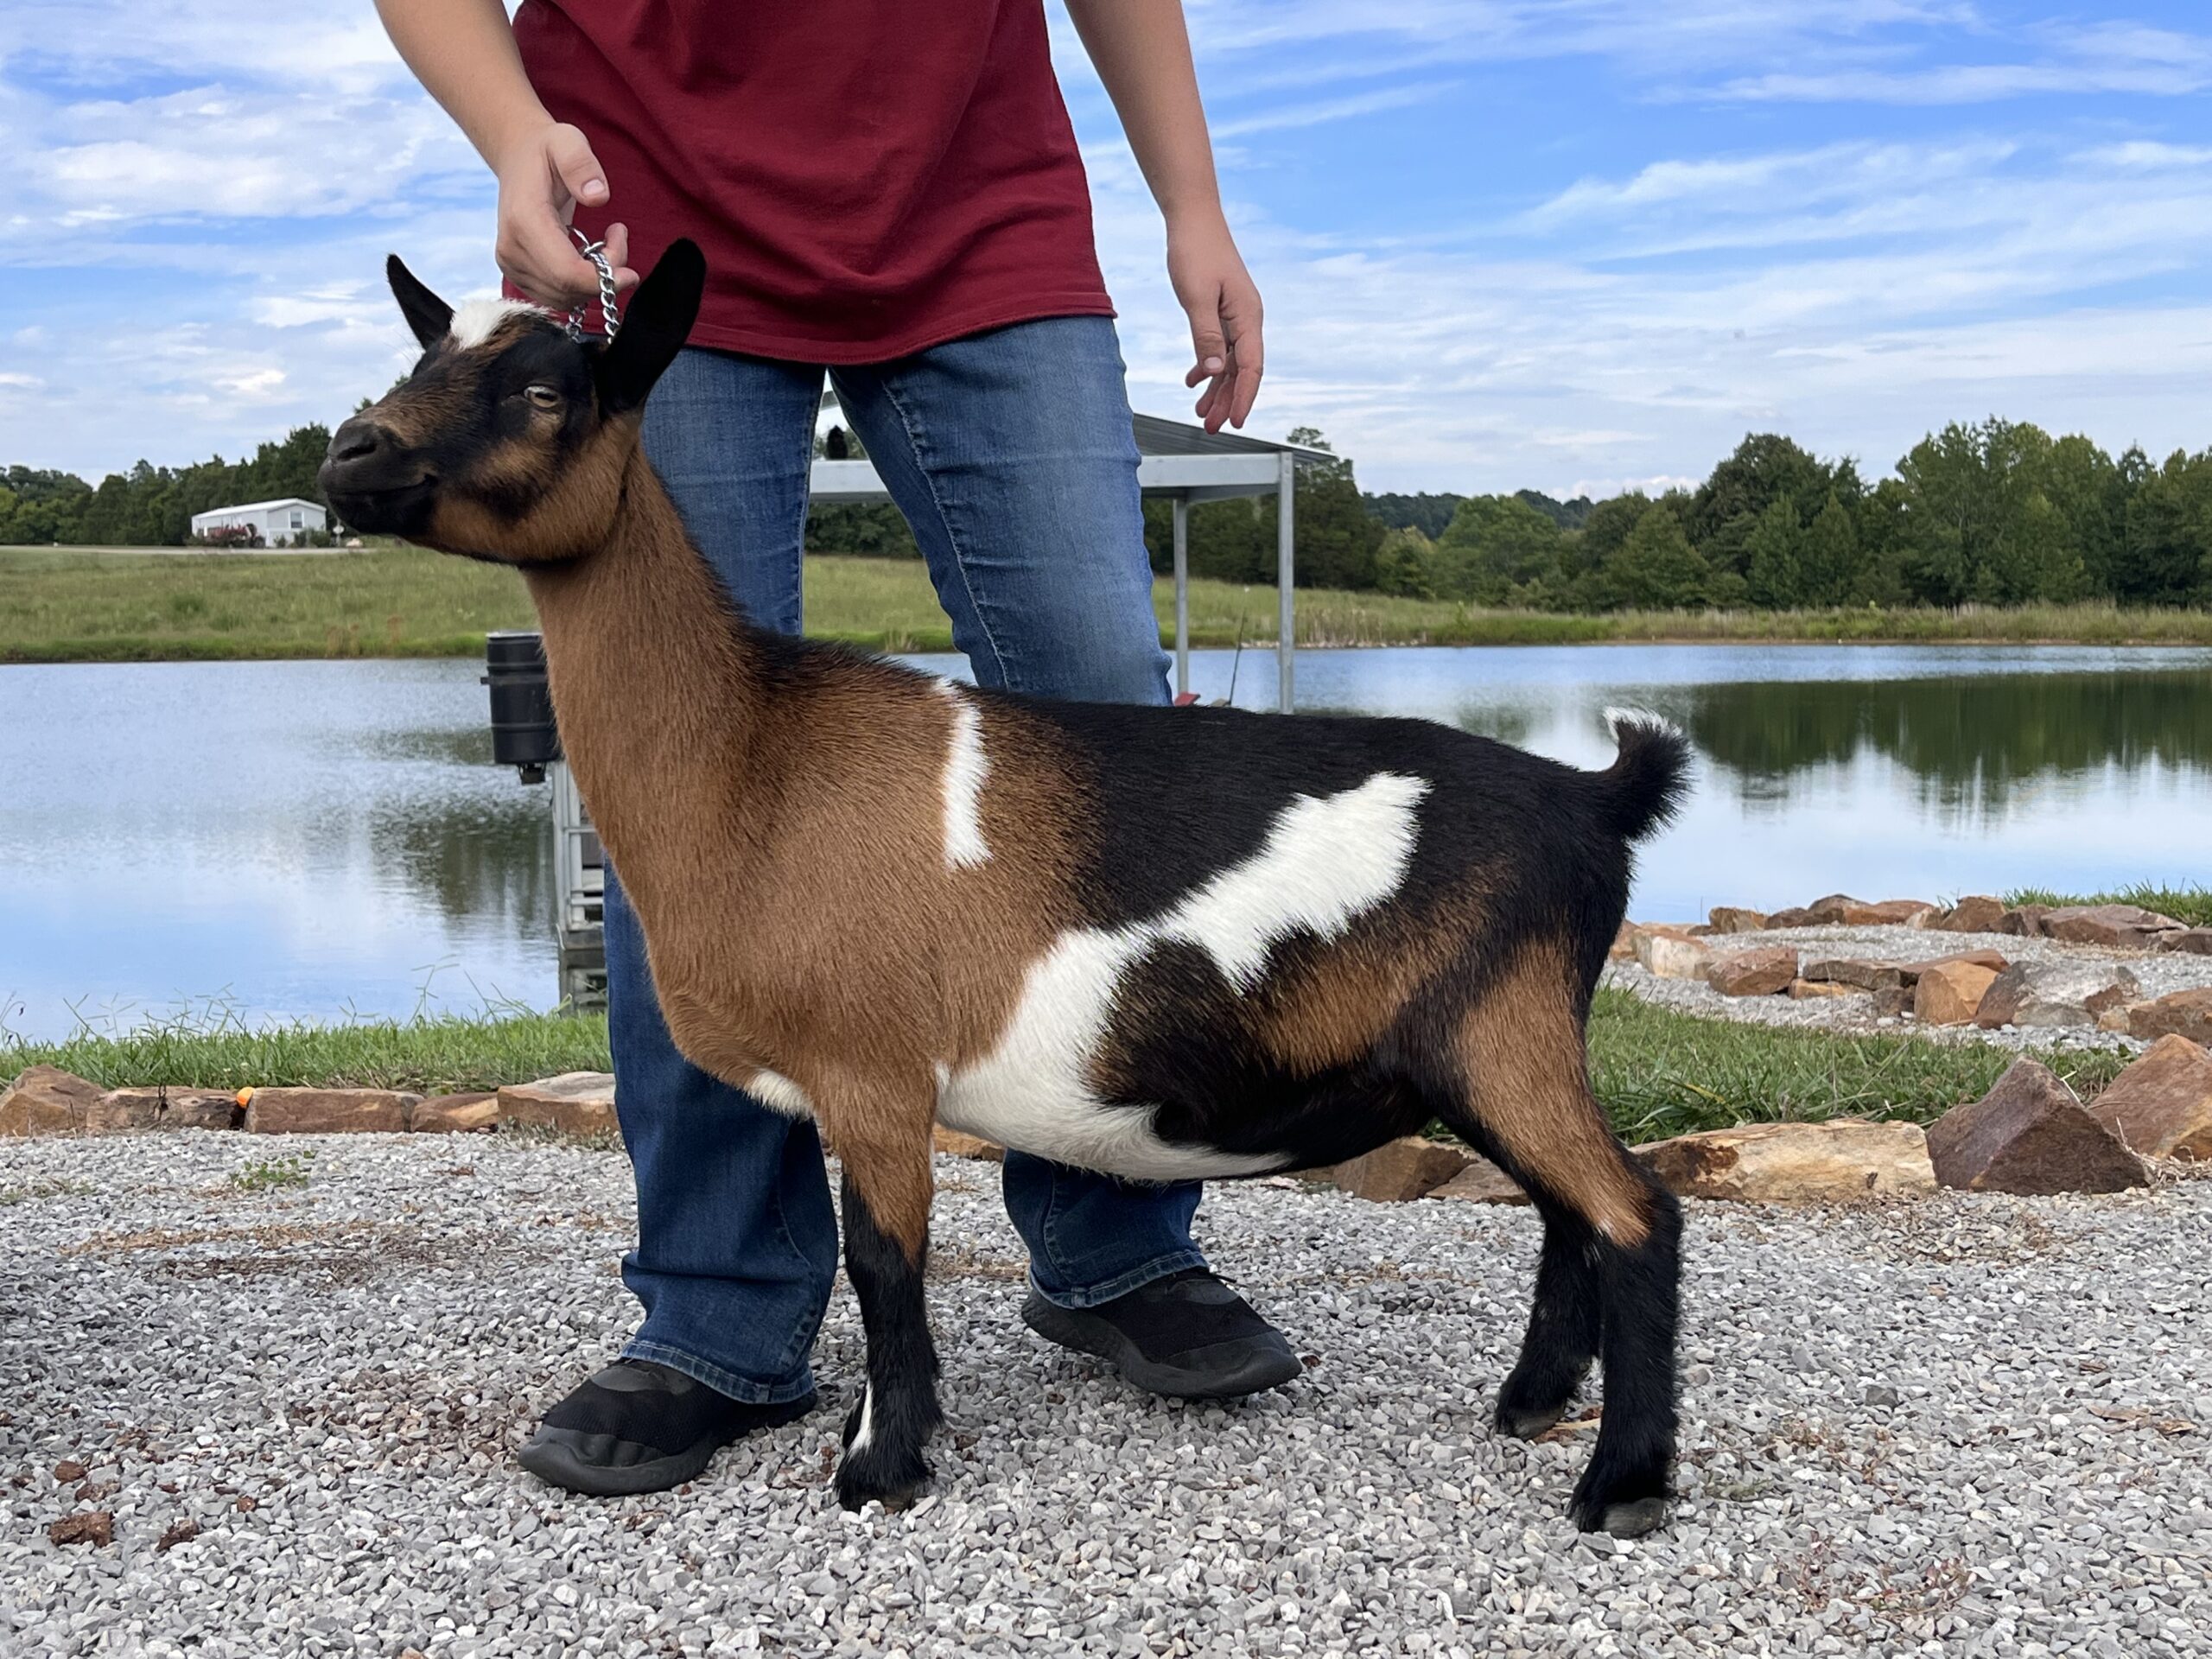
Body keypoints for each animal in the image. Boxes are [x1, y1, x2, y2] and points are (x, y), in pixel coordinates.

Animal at [316, 239, 1689, 1539]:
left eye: (545, 389)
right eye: (417, 359)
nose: (348, 454)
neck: (756, 759)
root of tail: (1593, 799)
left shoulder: (873, 1074)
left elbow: (884, 1266)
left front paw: (879, 1469)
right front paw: (885, 1442)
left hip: (1503, 1028)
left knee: (1631, 1215)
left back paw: (1619, 1486)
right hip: (1486, 1047)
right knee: (1566, 1216)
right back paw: (1528, 1407)